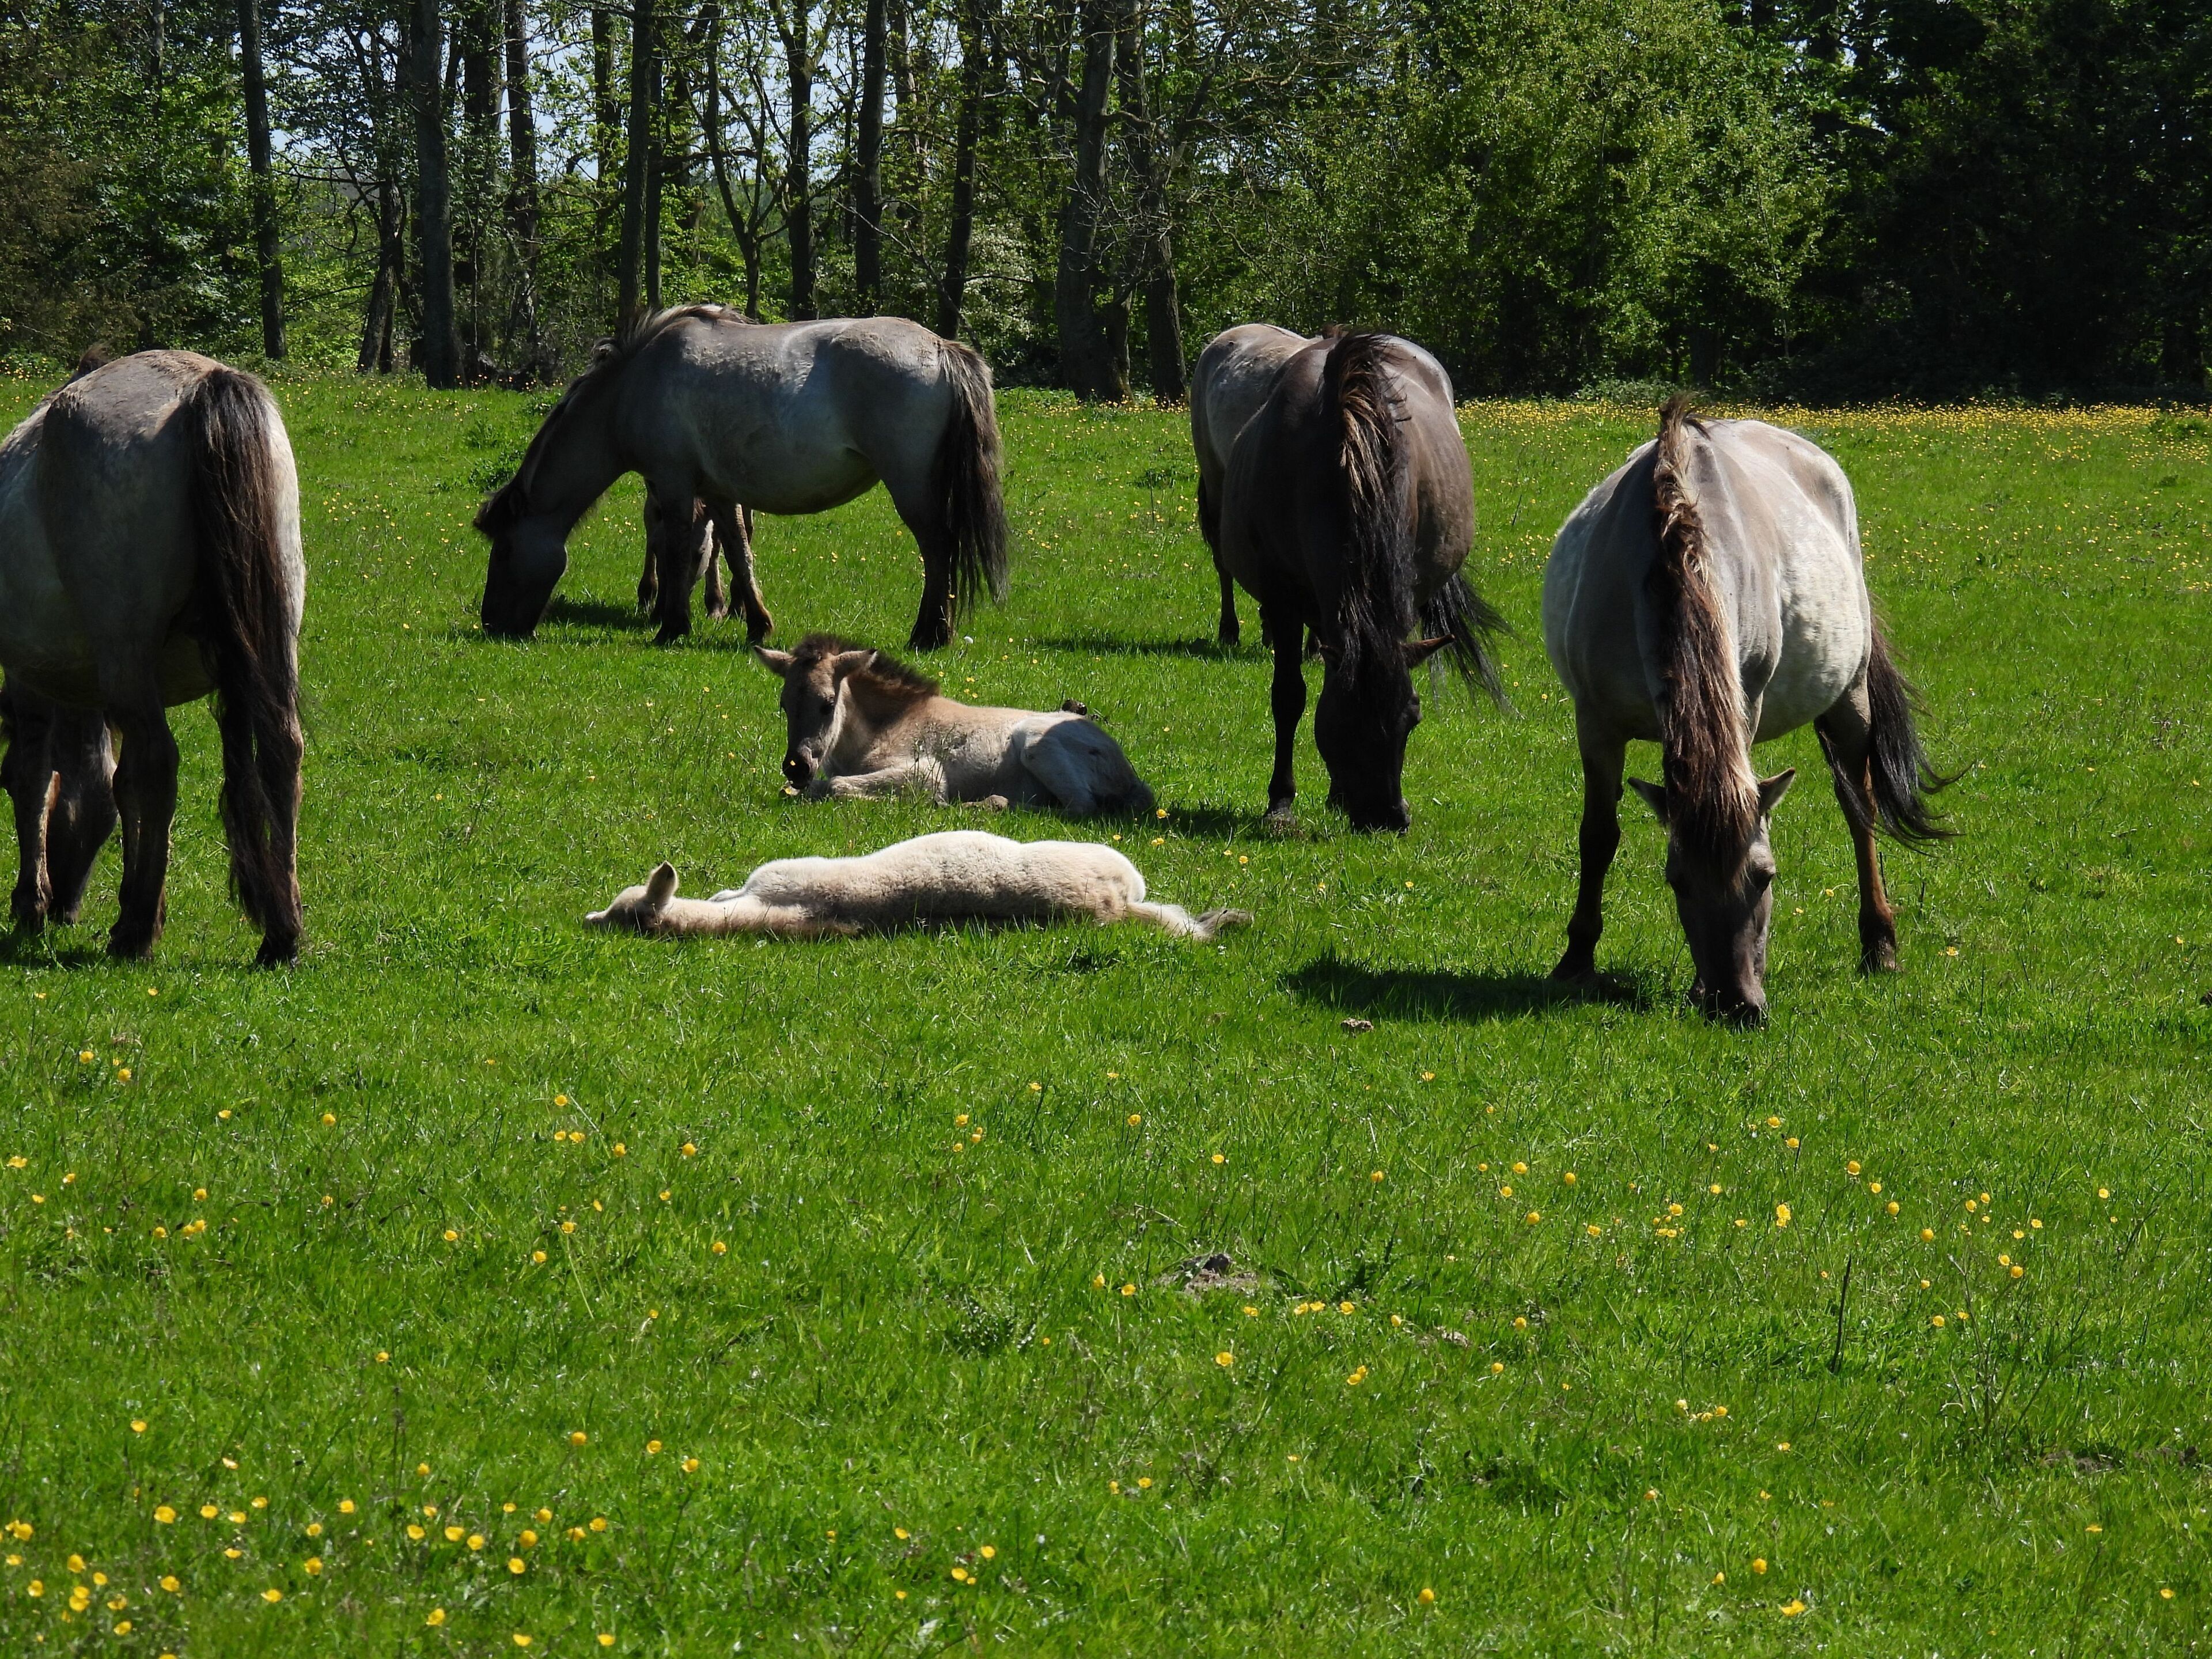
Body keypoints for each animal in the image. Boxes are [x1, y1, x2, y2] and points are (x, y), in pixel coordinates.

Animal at [0, 350, 305, 965]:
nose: (67, 906)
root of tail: (204, 384)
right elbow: (119, 786)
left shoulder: (33, 685)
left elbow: (34, 776)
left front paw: (31, 901)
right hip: (271, 645)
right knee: (280, 751)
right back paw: (280, 934)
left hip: (127, 659)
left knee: (161, 764)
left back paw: (137, 930)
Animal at [476, 305, 1008, 650]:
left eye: (504, 550)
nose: (492, 624)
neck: (631, 387)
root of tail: (940, 347)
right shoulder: (717, 492)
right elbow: (736, 552)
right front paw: (755, 624)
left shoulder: (673, 485)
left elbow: (677, 550)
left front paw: (672, 627)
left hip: (912, 486)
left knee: (938, 550)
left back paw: (928, 635)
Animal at [755, 633, 1154, 816]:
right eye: (784, 705)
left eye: (827, 705)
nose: (796, 766)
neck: (884, 728)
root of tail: (1131, 776)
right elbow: (808, 790)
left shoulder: (925, 772)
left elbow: (835, 787)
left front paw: (934, 801)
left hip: (1037, 745)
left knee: (1077, 807)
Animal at [1215, 330, 1506, 831]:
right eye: (1343, 723)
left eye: (1412, 717)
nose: (1387, 816)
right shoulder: (1281, 599)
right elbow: (1289, 696)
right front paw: (1280, 801)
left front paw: (1335, 794)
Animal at [1542, 397, 1950, 1023]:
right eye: (1677, 880)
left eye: (1765, 876)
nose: (1735, 1004)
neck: (1672, 557)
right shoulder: (1596, 723)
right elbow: (1598, 835)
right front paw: (1576, 959)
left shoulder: (1745, 703)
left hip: (1850, 696)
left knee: (1860, 810)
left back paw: (1879, 945)